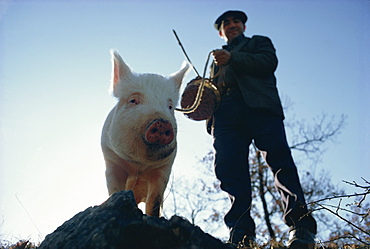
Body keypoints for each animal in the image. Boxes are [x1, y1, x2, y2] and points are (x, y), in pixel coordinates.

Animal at [100, 50, 189, 216]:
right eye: (133, 100)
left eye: (170, 106)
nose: (162, 123)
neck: (138, 166)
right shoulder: (111, 160)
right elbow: (115, 190)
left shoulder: (164, 169)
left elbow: (154, 201)